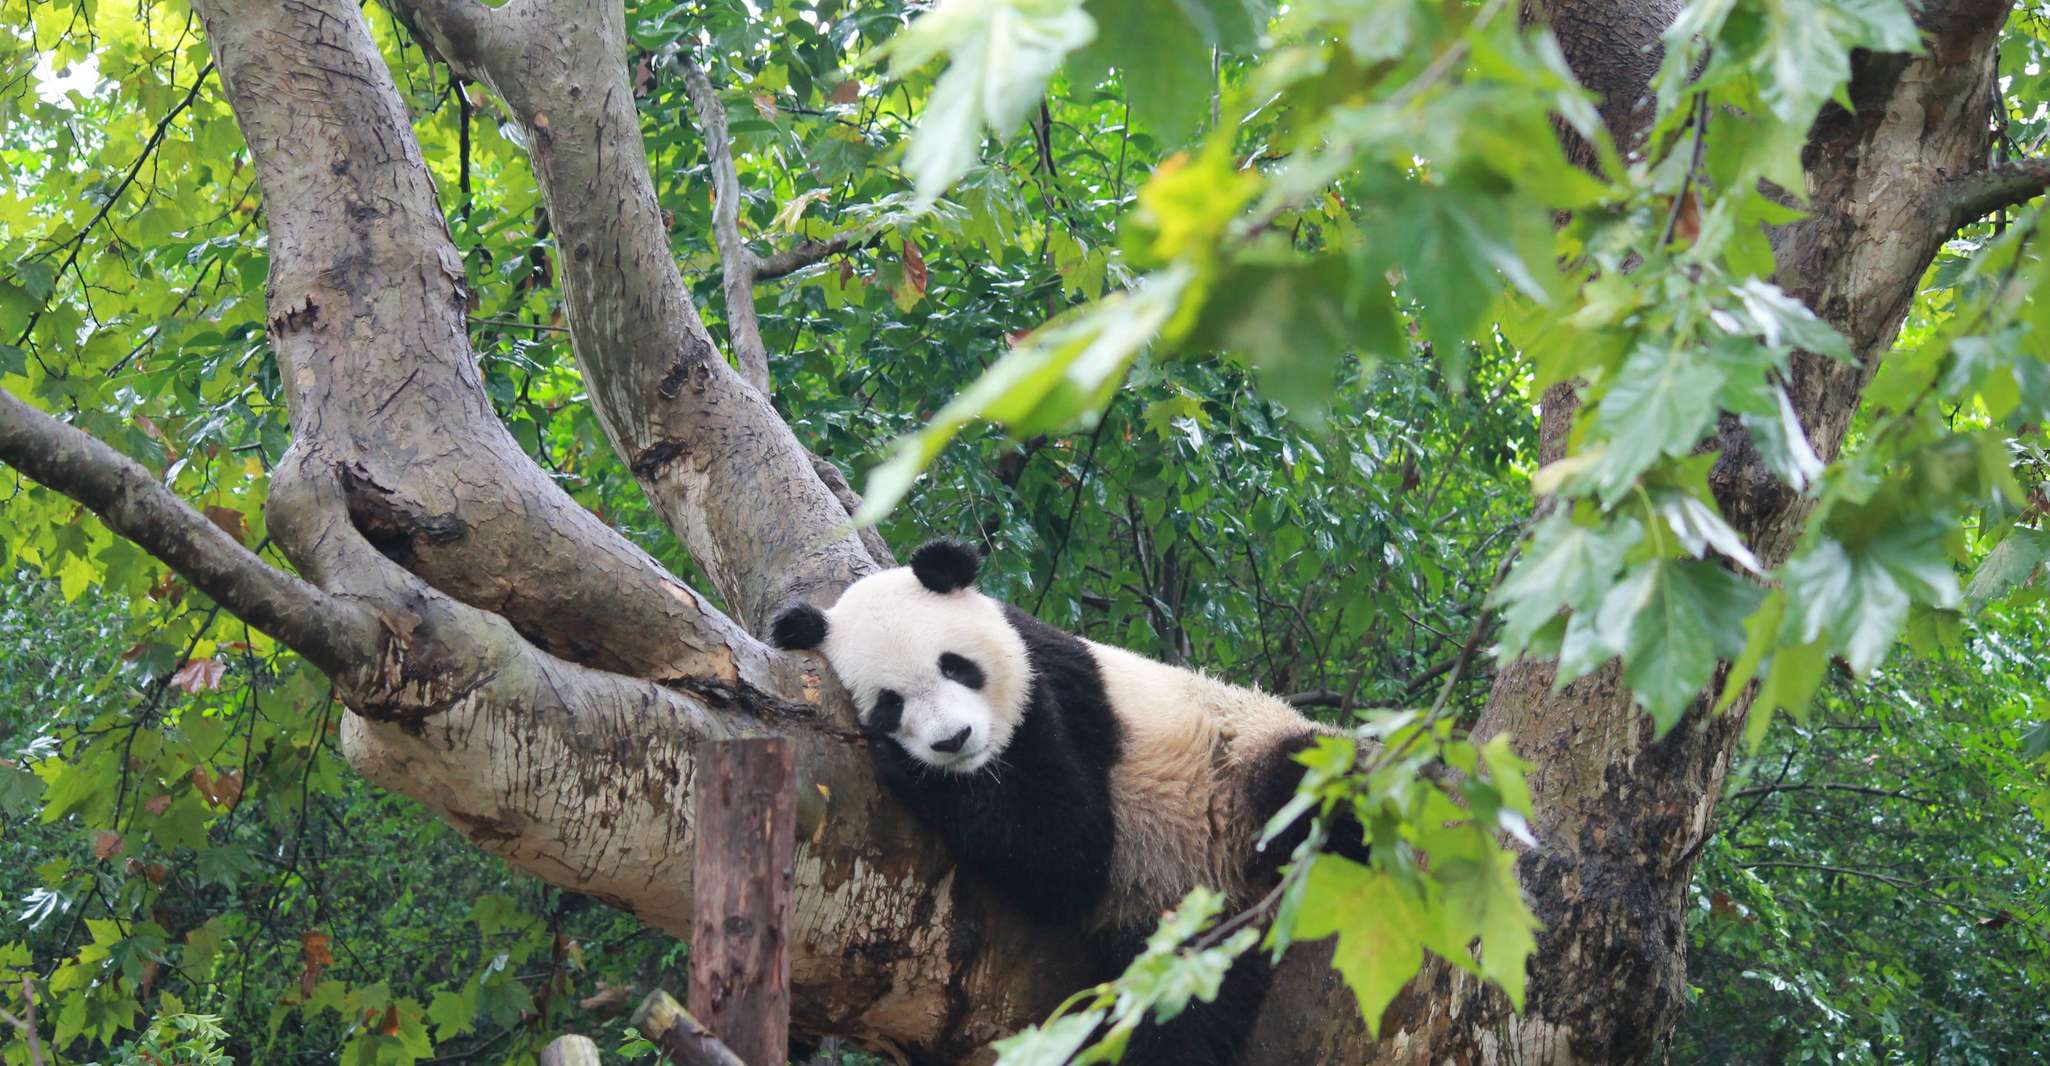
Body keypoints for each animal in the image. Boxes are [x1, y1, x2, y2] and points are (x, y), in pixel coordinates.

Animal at [770, 541, 1361, 1066]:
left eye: (955, 666)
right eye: (890, 704)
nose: (954, 740)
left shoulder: (1053, 692)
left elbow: (1068, 848)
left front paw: (910, 770)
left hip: (1244, 758)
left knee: (1313, 779)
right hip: (1182, 914)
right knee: (1182, 1013)